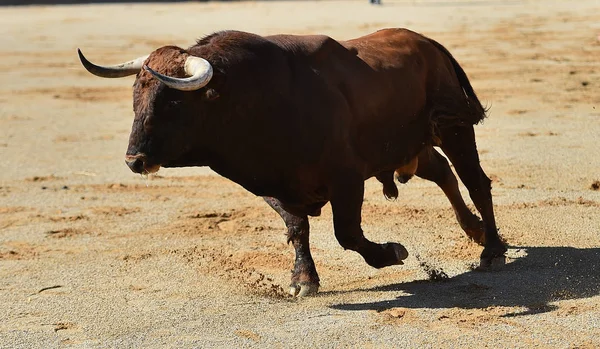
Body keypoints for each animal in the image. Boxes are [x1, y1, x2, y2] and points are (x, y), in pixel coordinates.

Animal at [76, 28, 506, 296]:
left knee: (475, 181)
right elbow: (298, 228)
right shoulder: (268, 184)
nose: (134, 160)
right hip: (411, 146)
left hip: (453, 128)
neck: (254, 98)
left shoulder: (347, 178)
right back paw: (475, 231)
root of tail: (429, 43)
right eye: (136, 97)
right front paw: (304, 279)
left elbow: (347, 233)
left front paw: (391, 252)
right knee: (444, 174)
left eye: (173, 103)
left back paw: (491, 249)